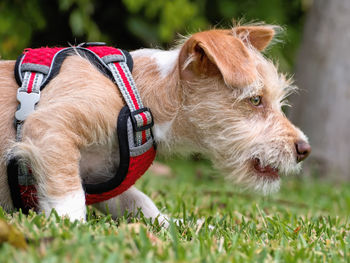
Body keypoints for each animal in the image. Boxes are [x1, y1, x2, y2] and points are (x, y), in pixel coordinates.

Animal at [0, 24, 312, 225]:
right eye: (256, 100)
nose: (304, 149)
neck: (138, 95)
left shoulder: (101, 179)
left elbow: (140, 203)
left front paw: (180, 225)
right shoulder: (49, 127)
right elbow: (69, 193)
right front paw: (70, 229)